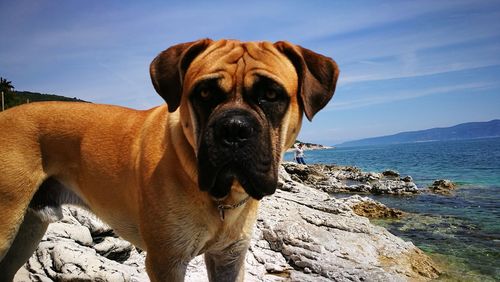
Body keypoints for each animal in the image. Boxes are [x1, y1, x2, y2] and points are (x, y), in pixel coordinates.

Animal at [0, 38, 340, 280]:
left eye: (270, 95)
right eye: (204, 94)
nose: (234, 128)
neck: (220, 198)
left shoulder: (229, 258)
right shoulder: (167, 262)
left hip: (27, 231)